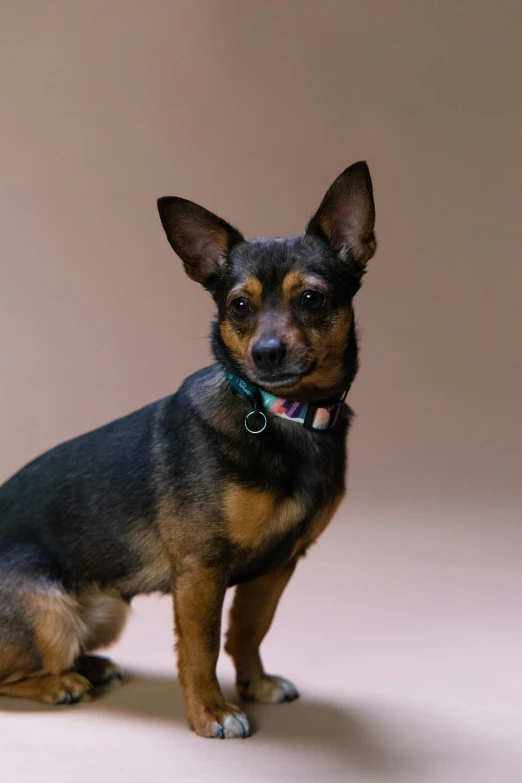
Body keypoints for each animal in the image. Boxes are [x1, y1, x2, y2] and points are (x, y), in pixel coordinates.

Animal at [0, 162, 374, 740]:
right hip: (50, 614)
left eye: (311, 299)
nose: (267, 353)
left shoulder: (277, 565)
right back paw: (61, 683)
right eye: (239, 306)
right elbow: (201, 646)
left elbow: (248, 630)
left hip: (105, 609)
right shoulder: (201, 569)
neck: (283, 414)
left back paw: (92, 667)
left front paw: (255, 684)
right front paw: (212, 712)